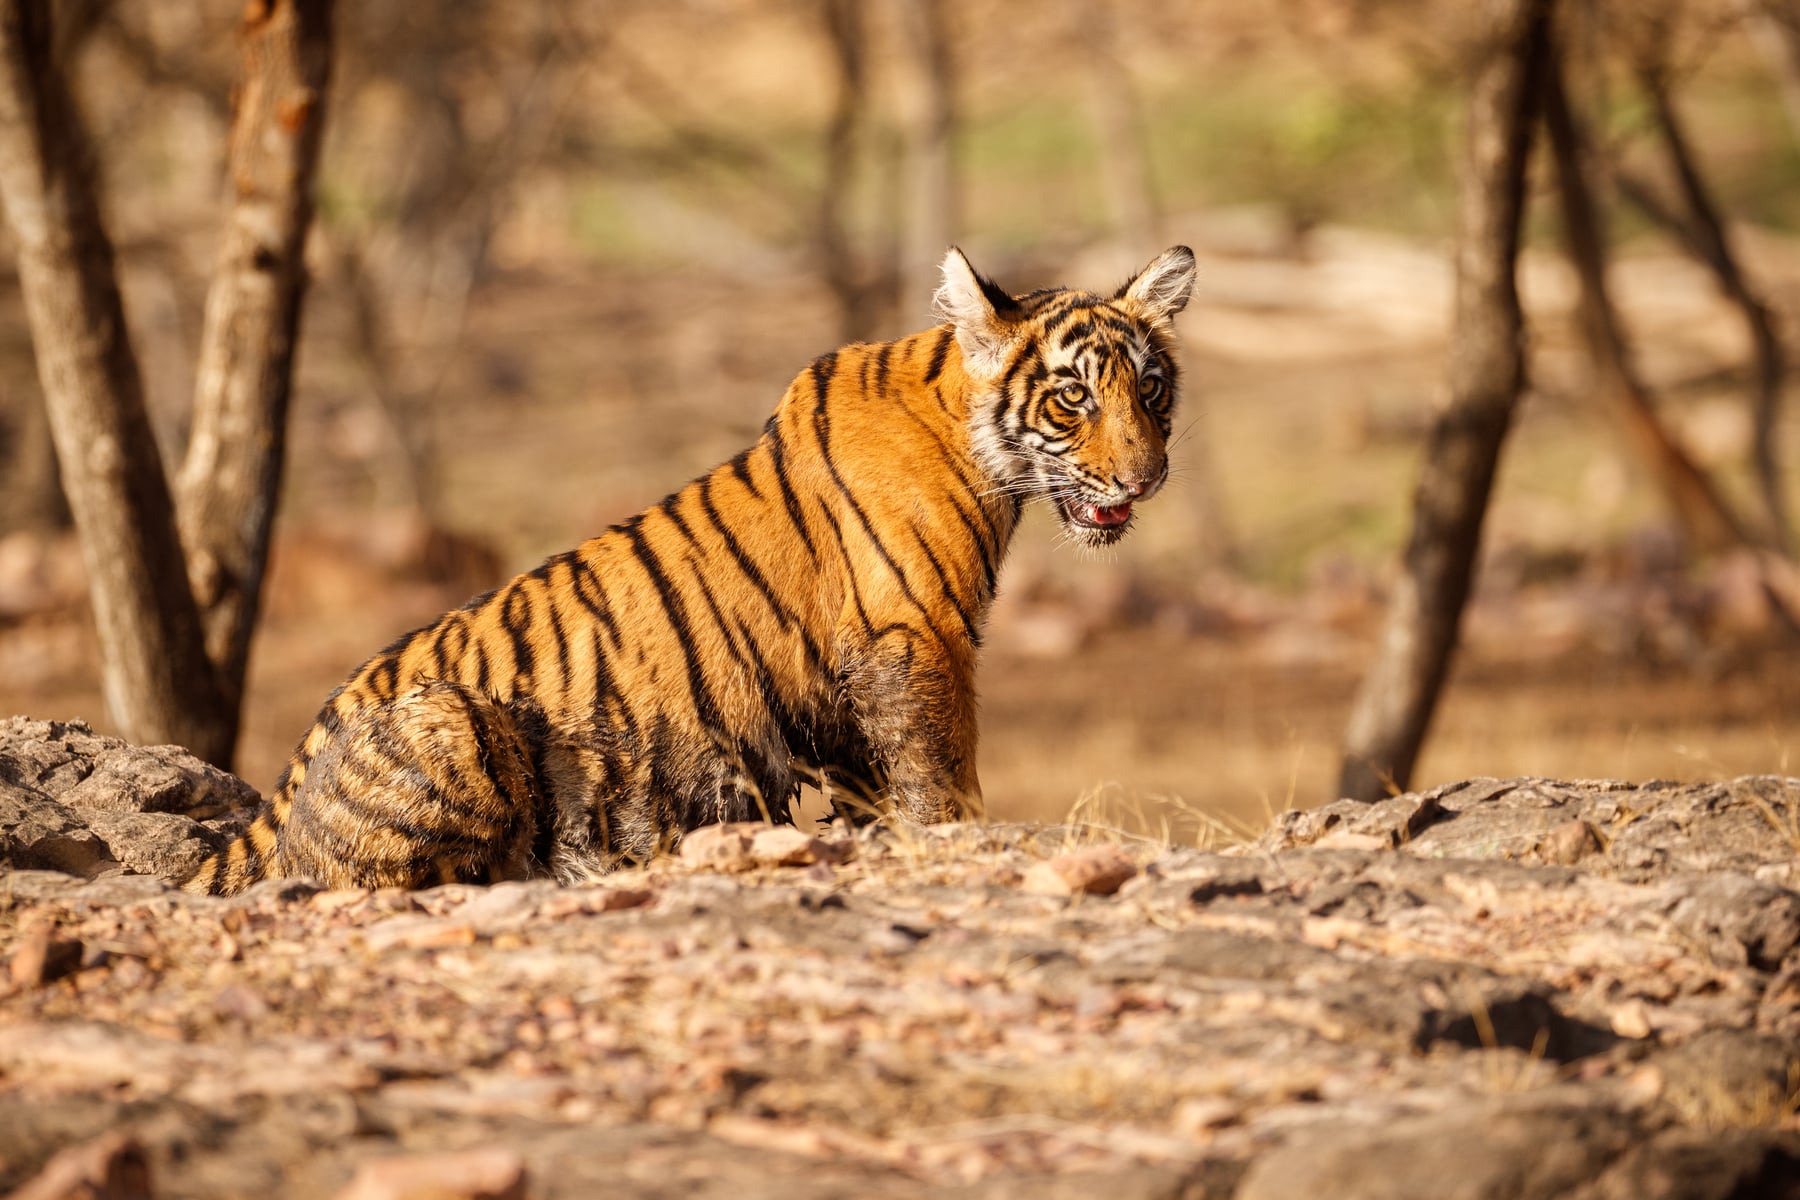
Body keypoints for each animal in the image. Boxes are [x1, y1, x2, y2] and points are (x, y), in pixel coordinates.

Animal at [183, 245, 1197, 895]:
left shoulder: (842, 696)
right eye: (1072, 398)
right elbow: (940, 775)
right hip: (452, 717)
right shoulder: (917, 640)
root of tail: (280, 786)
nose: (1147, 480)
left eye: (1150, 389)